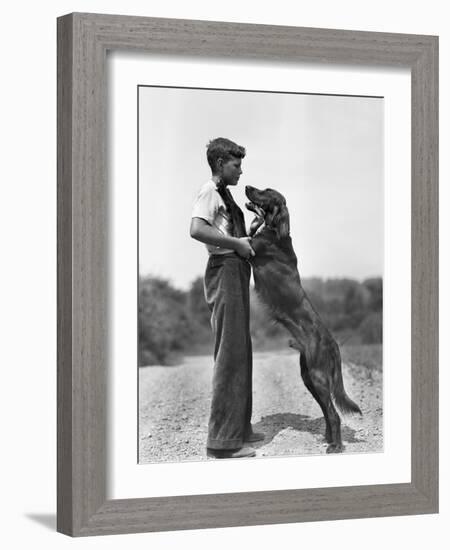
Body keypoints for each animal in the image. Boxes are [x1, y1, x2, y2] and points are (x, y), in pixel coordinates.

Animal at [244, 185, 360, 452]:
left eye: (266, 191)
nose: (247, 187)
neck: (275, 231)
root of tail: (333, 343)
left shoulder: (249, 249)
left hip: (317, 377)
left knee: (333, 413)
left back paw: (335, 446)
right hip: (309, 377)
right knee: (327, 412)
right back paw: (328, 439)